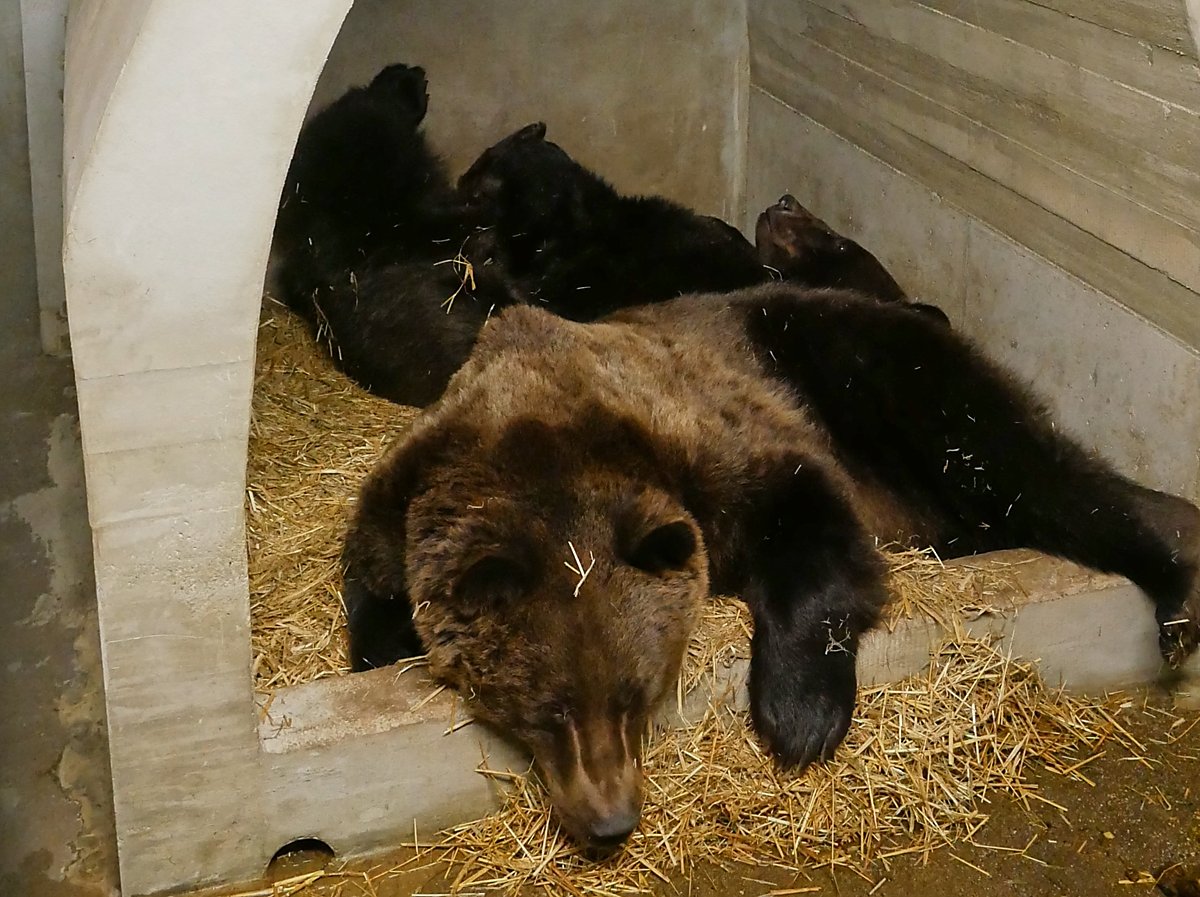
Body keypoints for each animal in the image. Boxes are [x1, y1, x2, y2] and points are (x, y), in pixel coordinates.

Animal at [341, 283, 1200, 852]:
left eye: (635, 693)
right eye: (546, 709)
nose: (612, 821)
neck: (544, 423)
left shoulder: (717, 442)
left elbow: (807, 527)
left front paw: (800, 716)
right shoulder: (399, 502)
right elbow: (374, 601)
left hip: (864, 369)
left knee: (1023, 464)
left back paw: (1174, 588)